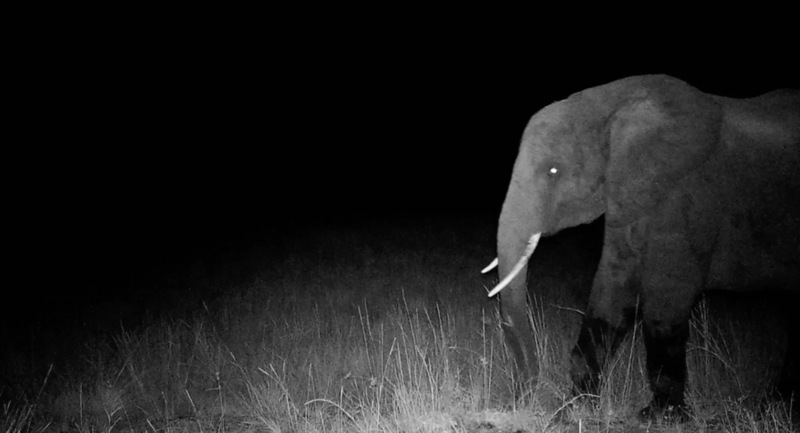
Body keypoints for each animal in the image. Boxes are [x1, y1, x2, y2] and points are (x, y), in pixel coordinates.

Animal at [484, 75, 800, 420]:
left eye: (553, 171)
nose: (522, 398)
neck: (610, 104)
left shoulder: (685, 194)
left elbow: (666, 298)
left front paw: (660, 415)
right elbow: (613, 290)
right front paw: (577, 406)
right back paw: (777, 405)